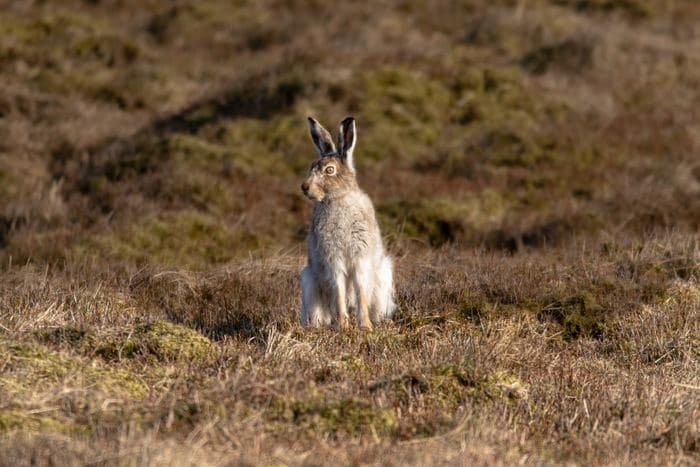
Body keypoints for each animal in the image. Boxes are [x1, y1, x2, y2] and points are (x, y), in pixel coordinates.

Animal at [299, 116, 395, 330]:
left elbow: (361, 291)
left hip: (383, 276)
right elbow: (339, 291)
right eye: (311, 167)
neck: (338, 199)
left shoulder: (360, 256)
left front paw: (365, 326)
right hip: (309, 283)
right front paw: (343, 326)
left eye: (329, 170)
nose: (304, 187)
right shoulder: (333, 260)